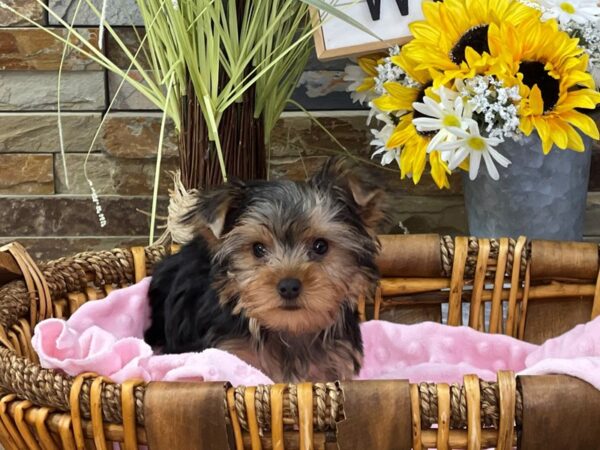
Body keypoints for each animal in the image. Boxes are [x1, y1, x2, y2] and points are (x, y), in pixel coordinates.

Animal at [148, 159, 386, 384]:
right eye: (258, 249)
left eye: (320, 246)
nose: (289, 286)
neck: (289, 330)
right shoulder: (231, 351)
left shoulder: (334, 360)